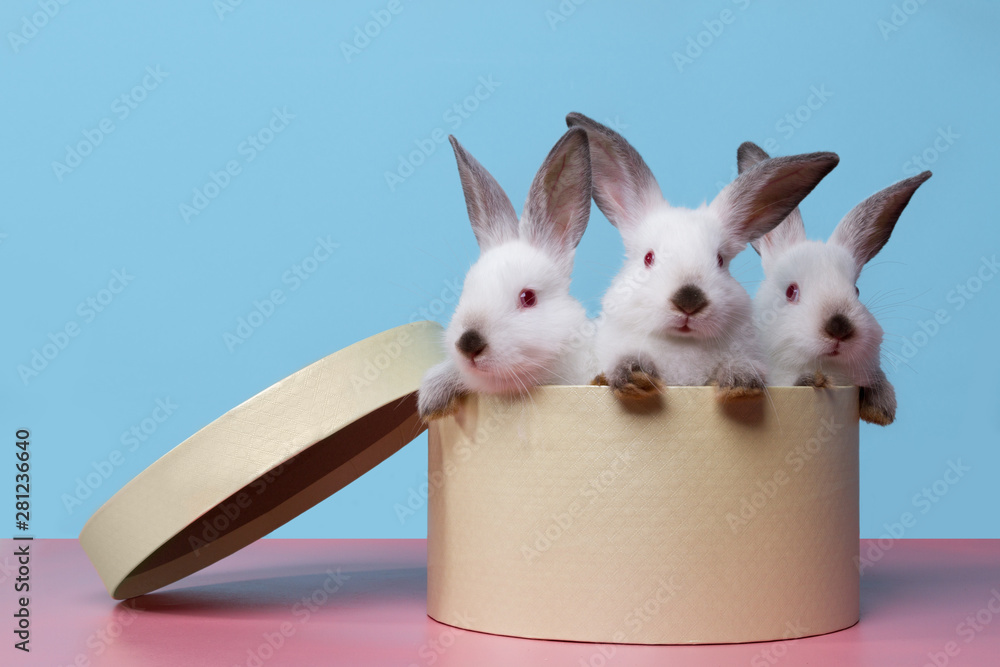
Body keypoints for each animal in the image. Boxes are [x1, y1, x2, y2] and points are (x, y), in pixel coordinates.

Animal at [565, 113, 839, 402]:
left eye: (720, 260)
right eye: (648, 258)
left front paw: (740, 382)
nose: (689, 300)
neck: (682, 344)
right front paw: (635, 376)